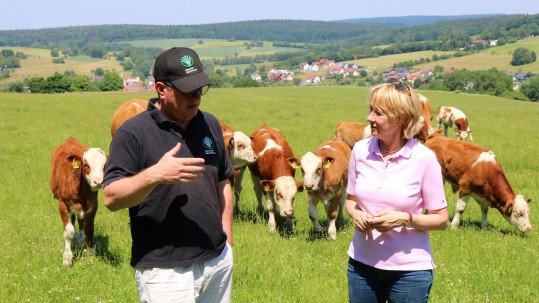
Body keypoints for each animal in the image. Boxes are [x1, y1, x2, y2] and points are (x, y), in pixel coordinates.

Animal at [50, 138, 108, 266]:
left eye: (104, 165)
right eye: (86, 165)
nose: (98, 182)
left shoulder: (92, 206)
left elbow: (89, 229)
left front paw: (91, 254)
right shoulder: (63, 205)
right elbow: (68, 232)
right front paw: (67, 258)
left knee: (81, 222)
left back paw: (80, 239)